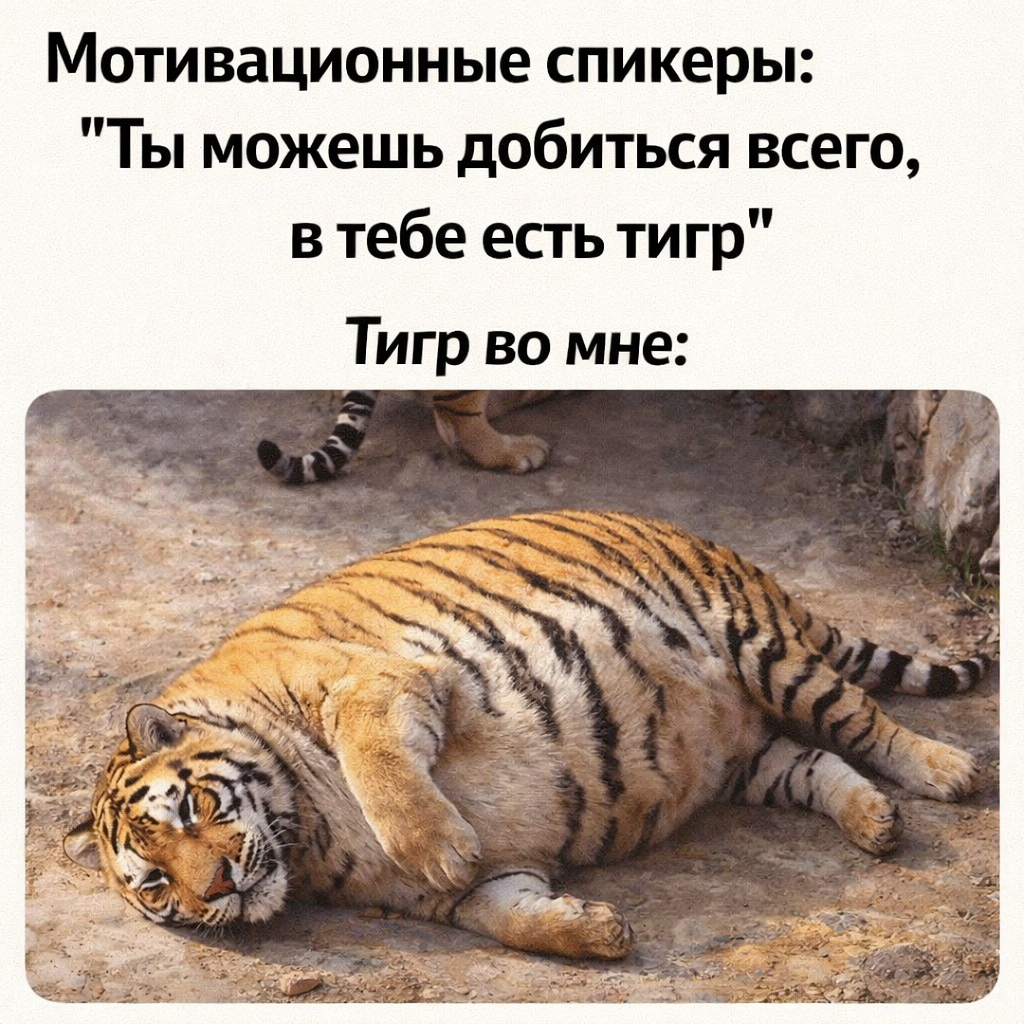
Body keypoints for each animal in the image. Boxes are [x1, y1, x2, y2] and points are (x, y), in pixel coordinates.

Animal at [63, 510, 989, 960]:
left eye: (191, 811)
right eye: (157, 885)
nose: (216, 889)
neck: (308, 837)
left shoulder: (383, 682)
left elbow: (379, 766)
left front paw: (438, 843)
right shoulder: (459, 895)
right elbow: (506, 916)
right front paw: (596, 934)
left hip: (761, 646)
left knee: (864, 719)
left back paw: (947, 772)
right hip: (739, 754)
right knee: (817, 760)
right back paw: (875, 822)